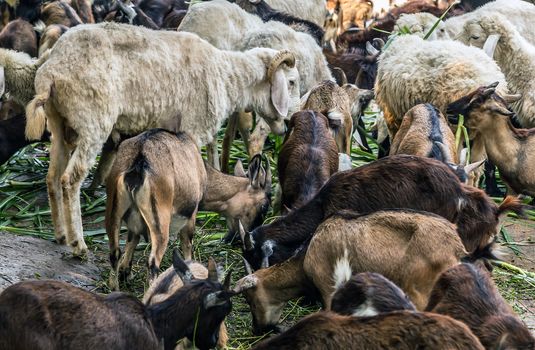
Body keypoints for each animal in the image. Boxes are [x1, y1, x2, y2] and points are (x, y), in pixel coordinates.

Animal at [24, 23, 302, 256]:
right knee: (70, 179)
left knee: (52, 177)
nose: (290, 121)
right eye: (291, 82)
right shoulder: (192, 129)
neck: (226, 75)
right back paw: (78, 244)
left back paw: (60, 235)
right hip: (93, 121)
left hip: (59, 123)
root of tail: (51, 71)